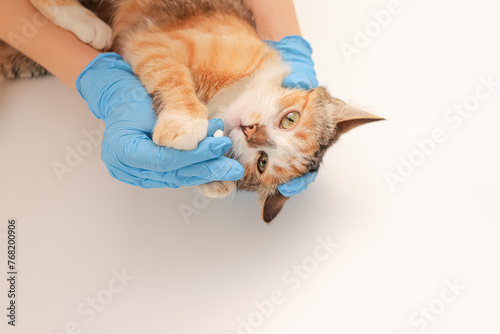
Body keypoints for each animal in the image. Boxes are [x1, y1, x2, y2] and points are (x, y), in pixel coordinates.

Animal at [0, 0, 382, 224]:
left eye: (262, 163)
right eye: (291, 119)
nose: (251, 130)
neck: (221, 97)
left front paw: (214, 182)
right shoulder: (157, 42)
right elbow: (172, 74)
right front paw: (184, 121)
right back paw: (88, 24)